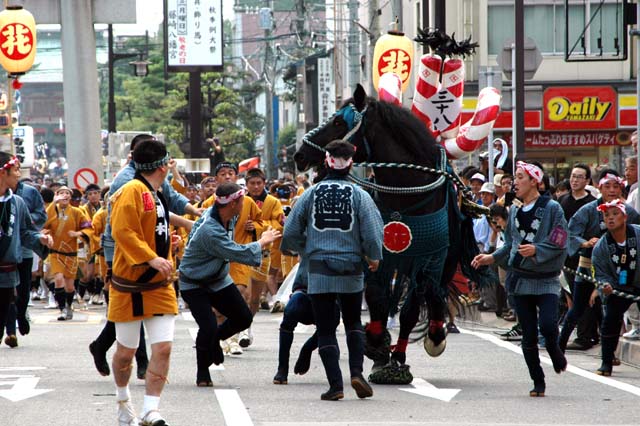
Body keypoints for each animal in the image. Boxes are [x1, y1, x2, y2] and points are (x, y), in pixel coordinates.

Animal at [294, 85, 484, 382]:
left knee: (435, 294)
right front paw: (376, 344)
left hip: (446, 259)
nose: (299, 154)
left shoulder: (425, 258)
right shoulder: (378, 254)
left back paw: (434, 334)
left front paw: (398, 355)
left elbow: (410, 310)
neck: (405, 197)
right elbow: (376, 298)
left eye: (338, 122)